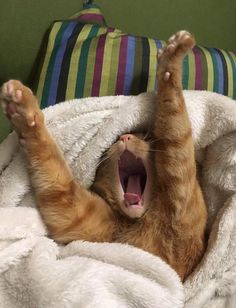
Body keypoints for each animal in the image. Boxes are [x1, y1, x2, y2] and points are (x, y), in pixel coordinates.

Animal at [0, 31, 206, 282]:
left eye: (145, 137)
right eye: (118, 137)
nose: (125, 137)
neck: (136, 219)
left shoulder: (182, 186)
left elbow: (174, 116)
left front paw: (172, 59)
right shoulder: (73, 211)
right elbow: (49, 161)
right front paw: (24, 113)